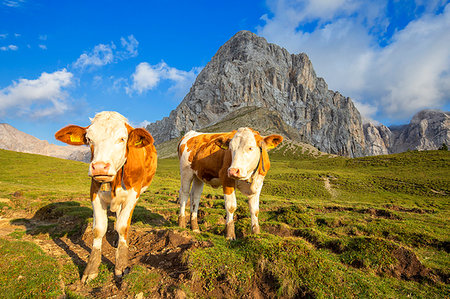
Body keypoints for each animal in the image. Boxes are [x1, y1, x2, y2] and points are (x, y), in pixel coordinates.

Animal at [54, 112, 157, 284]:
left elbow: (123, 226)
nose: (100, 167)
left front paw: (121, 266)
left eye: (122, 138)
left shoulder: (133, 194)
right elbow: (99, 229)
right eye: (89, 139)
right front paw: (91, 269)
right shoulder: (94, 193)